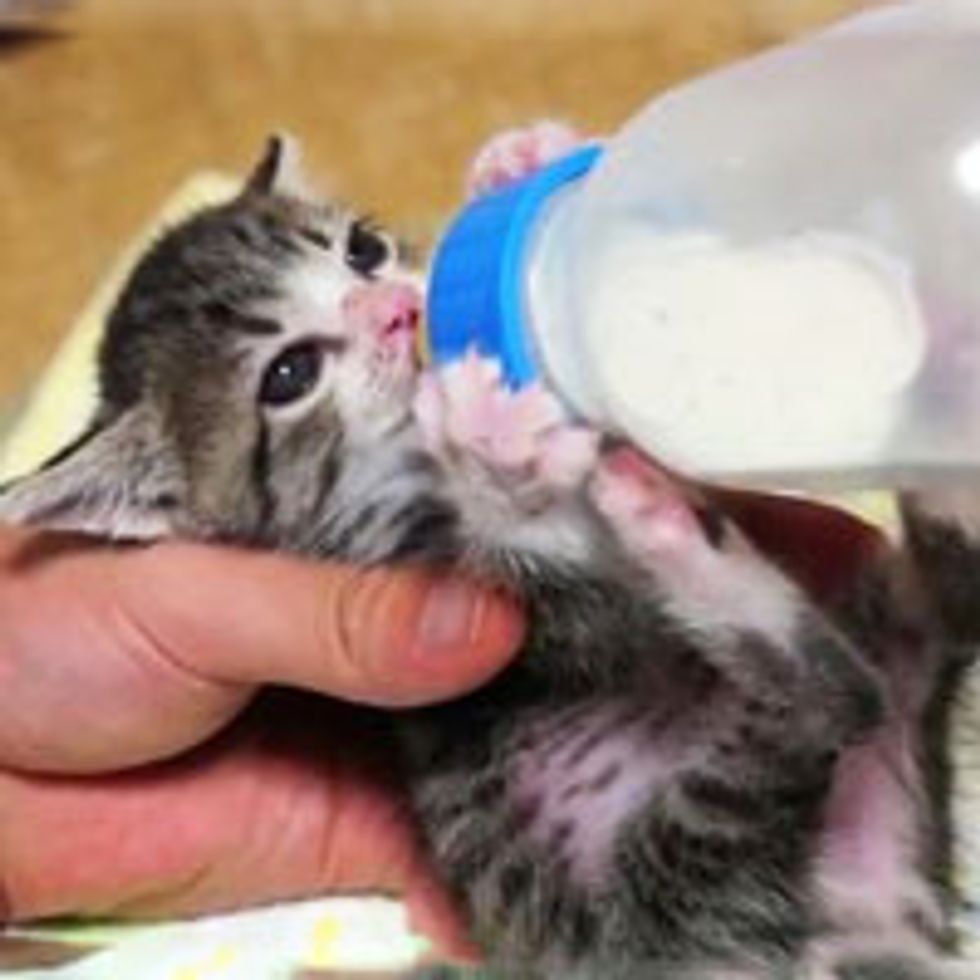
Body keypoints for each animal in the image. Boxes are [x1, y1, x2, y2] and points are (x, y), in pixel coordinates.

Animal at [1, 136, 972, 980]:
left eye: (362, 249)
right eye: (289, 374)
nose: (401, 309)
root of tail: (861, 920)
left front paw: (525, 159)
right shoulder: (512, 609)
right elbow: (556, 565)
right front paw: (501, 453)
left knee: (929, 605)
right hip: (672, 885)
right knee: (826, 697)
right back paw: (667, 524)